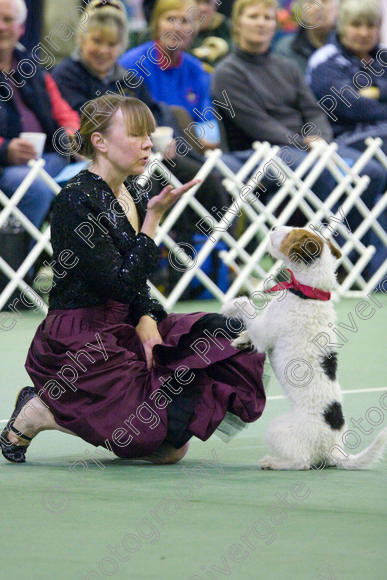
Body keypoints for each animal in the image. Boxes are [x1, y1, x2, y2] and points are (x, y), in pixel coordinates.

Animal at [221, 227, 387, 472]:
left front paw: (229, 306)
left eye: (291, 235)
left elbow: (246, 305)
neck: (309, 292)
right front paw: (241, 340)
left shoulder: (264, 334)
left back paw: (273, 462)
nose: (272, 228)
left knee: (302, 462)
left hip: (277, 429)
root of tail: (335, 449)